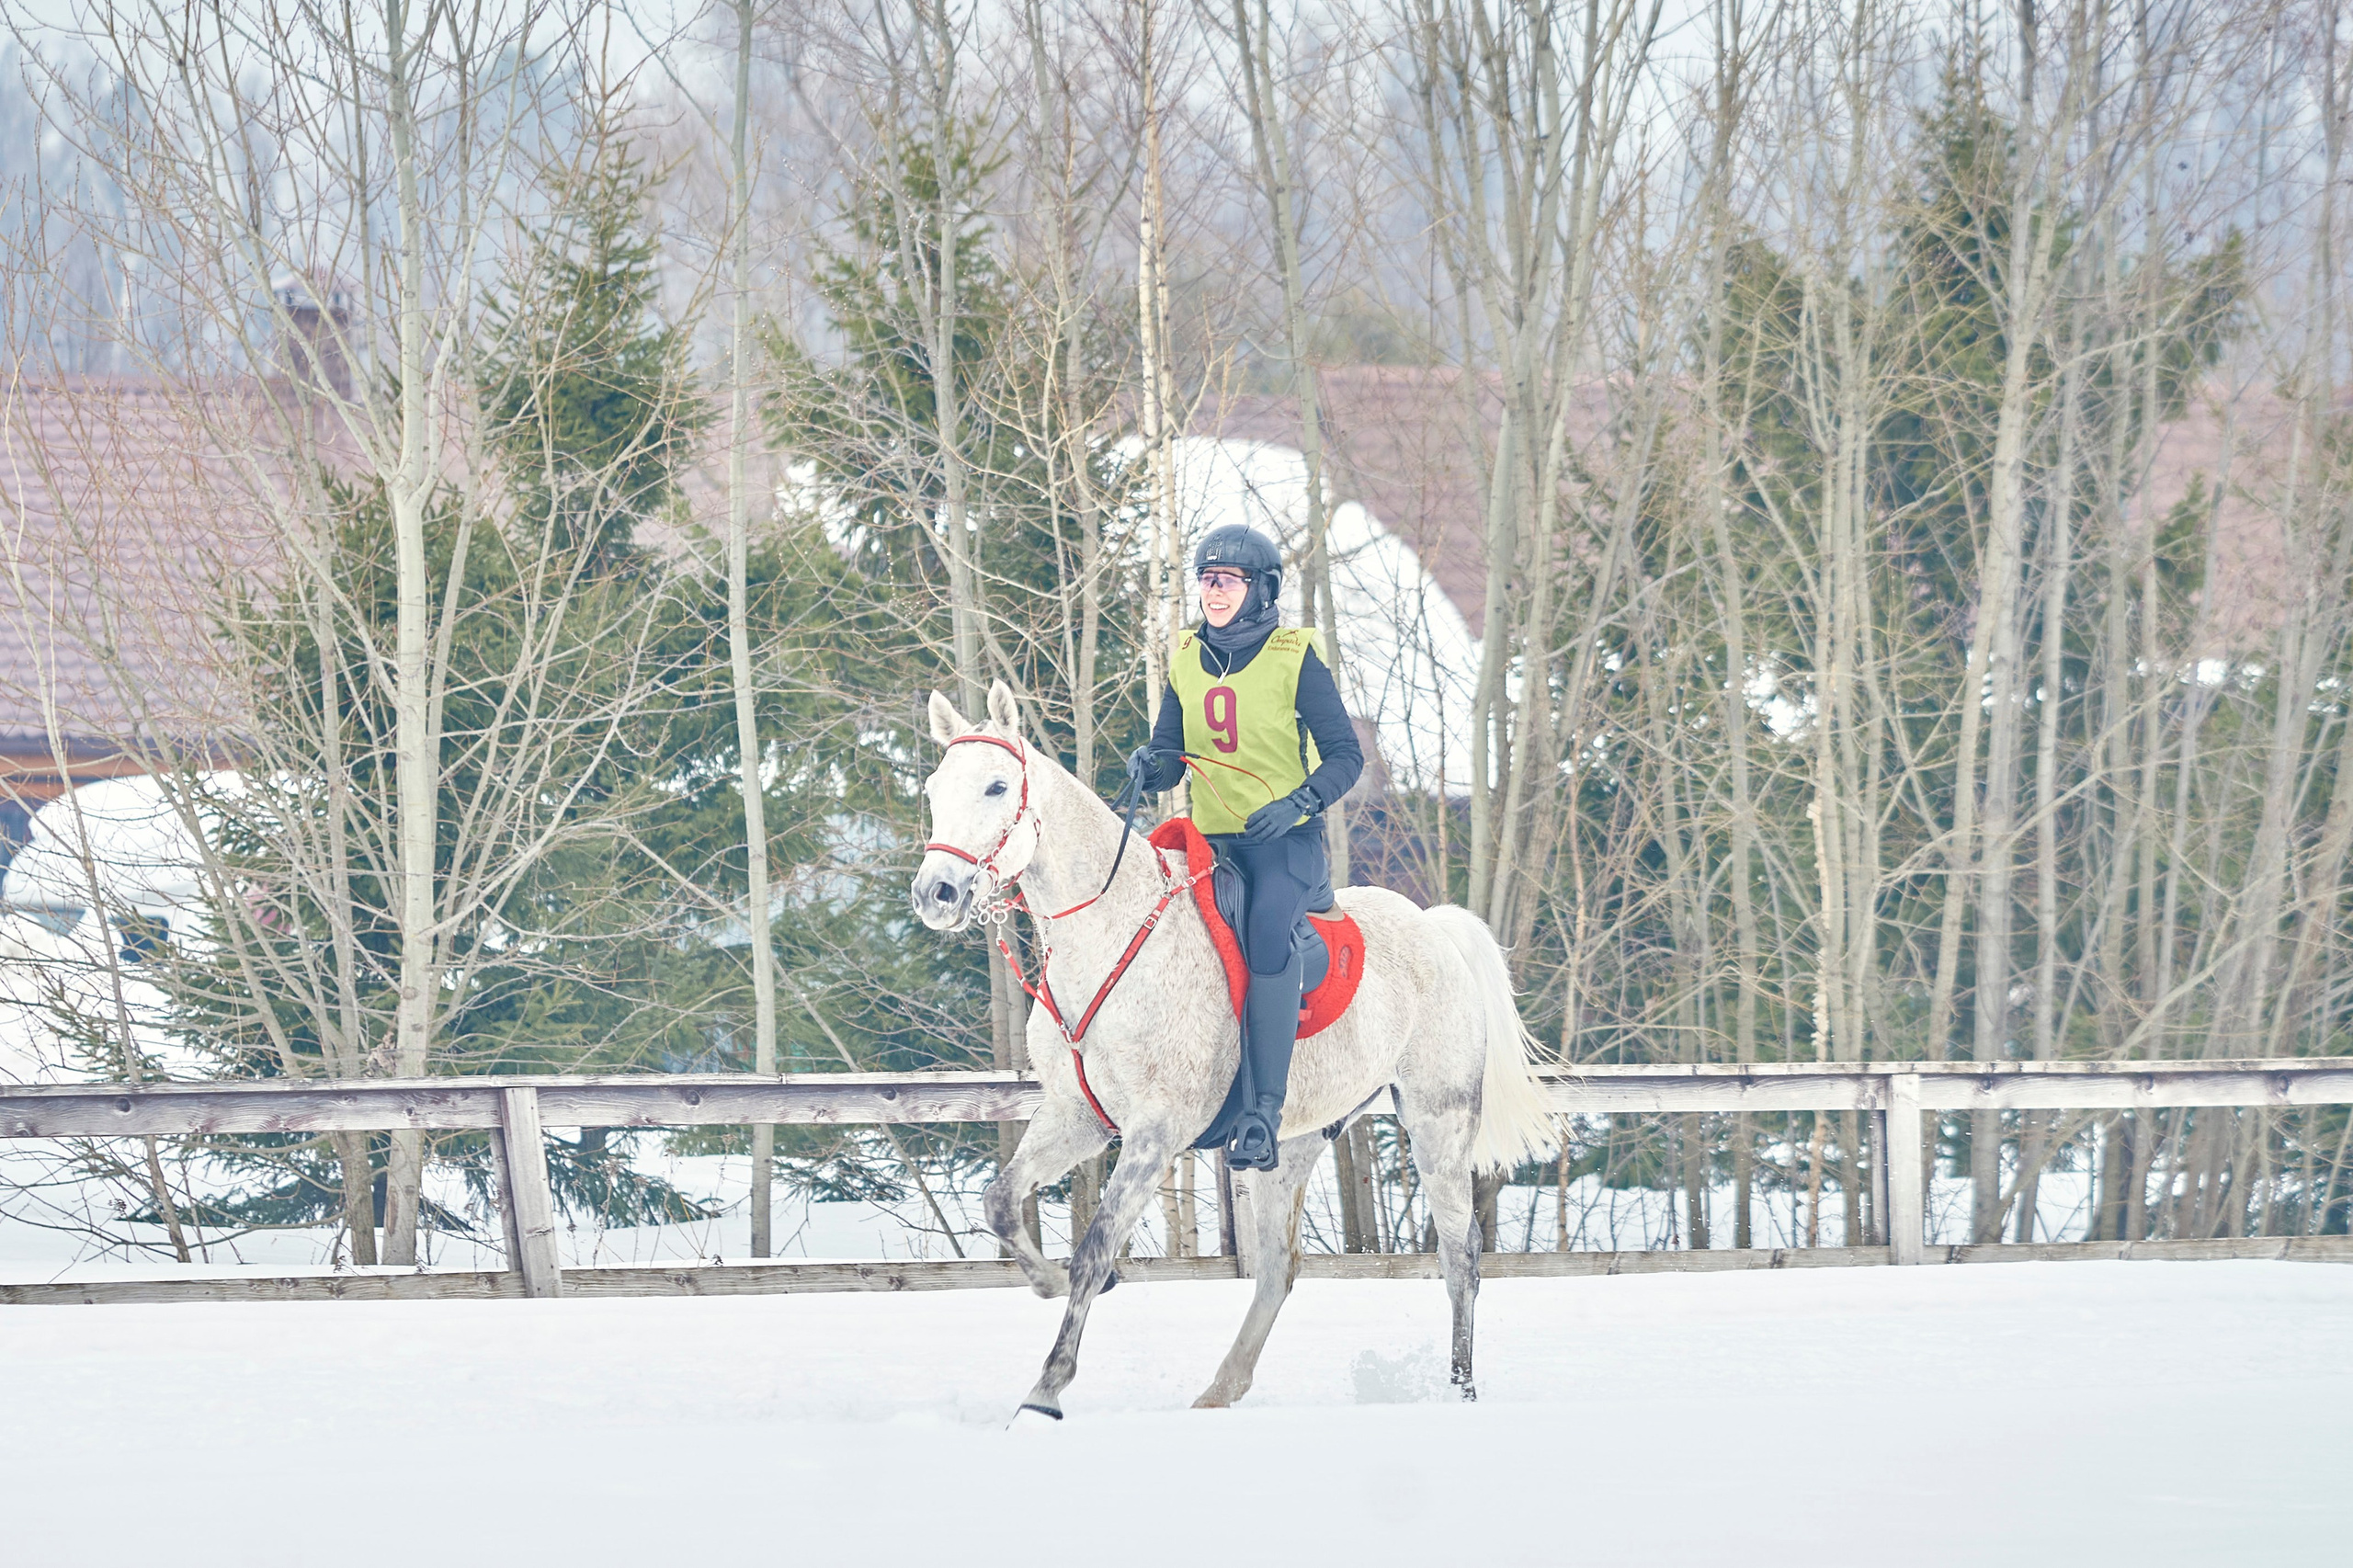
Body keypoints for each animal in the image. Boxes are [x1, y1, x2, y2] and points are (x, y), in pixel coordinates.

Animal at [911, 681, 1555, 1418]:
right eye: (934, 788)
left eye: (996, 786)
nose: (935, 893)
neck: (1109, 933)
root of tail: (1434, 927)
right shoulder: (1077, 1117)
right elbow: (998, 1200)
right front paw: (1046, 1285)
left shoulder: (1157, 1130)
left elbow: (1096, 1247)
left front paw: (1046, 1390)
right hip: (1290, 1145)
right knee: (1279, 1268)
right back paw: (1221, 1390)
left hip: (1439, 1120)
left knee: (1460, 1254)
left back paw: (1460, 1387)